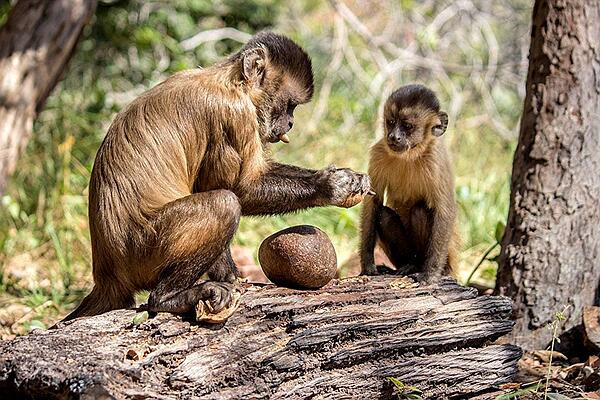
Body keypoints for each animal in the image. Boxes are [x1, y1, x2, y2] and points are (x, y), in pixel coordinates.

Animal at [62, 32, 370, 324]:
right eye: (290, 105)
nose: (291, 123)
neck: (230, 82)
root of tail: (107, 274)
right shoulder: (232, 114)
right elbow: (237, 189)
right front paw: (331, 185)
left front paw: (231, 278)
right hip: (142, 252)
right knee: (224, 202)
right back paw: (167, 298)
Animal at [360, 84, 460, 282]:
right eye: (391, 122)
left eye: (407, 126)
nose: (393, 137)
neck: (411, 155)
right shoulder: (379, 152)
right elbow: (373, 203)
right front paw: (368, 265)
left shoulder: (436, 160)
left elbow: (445, 211)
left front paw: (430, 275)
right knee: (384, 215)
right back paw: (408, 265)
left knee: (420, 211)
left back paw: (424, 267)